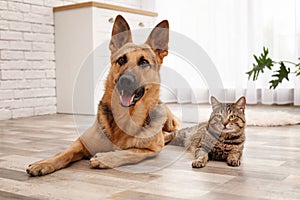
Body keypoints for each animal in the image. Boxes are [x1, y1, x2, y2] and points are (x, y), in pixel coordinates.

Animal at [26, 14, 178, 176]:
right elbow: (65, 153)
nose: (125, 80)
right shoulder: (82, 142)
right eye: (121, 60)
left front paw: (105, 158)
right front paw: (44, 163)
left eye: (144, 62)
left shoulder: (152, 150)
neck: (124, 117)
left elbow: (130, 152)